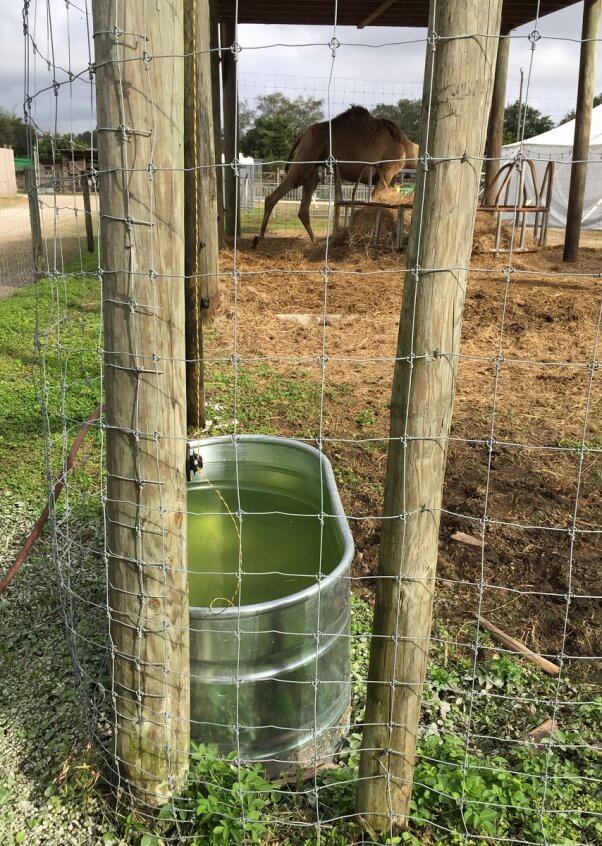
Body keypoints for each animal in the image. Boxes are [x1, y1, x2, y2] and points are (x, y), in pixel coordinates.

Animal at [250, 104, 418, 247]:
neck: (406, 148)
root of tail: (303, 134)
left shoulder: (390, 178)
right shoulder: (387, 171)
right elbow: (376, 200)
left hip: (312, 165)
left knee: (305, 201)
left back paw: (316, 243)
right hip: (307, 155)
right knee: (277, 194)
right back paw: (258, 239)